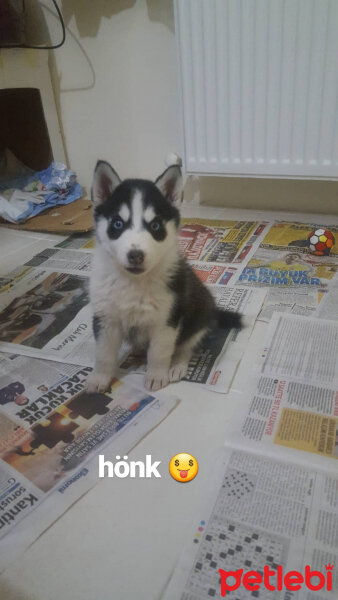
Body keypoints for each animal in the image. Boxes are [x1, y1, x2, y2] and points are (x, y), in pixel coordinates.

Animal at [87, 161, 240, 394]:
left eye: (155, 226)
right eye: (118, 224)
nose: (136, 255)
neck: (134, 282)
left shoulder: (166, 320)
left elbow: (159, 352)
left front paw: (156, 375)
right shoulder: (106, 319)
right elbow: (103, 354)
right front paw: (100, 378)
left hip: (198, 319)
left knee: (186, 346)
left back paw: (177, 366)